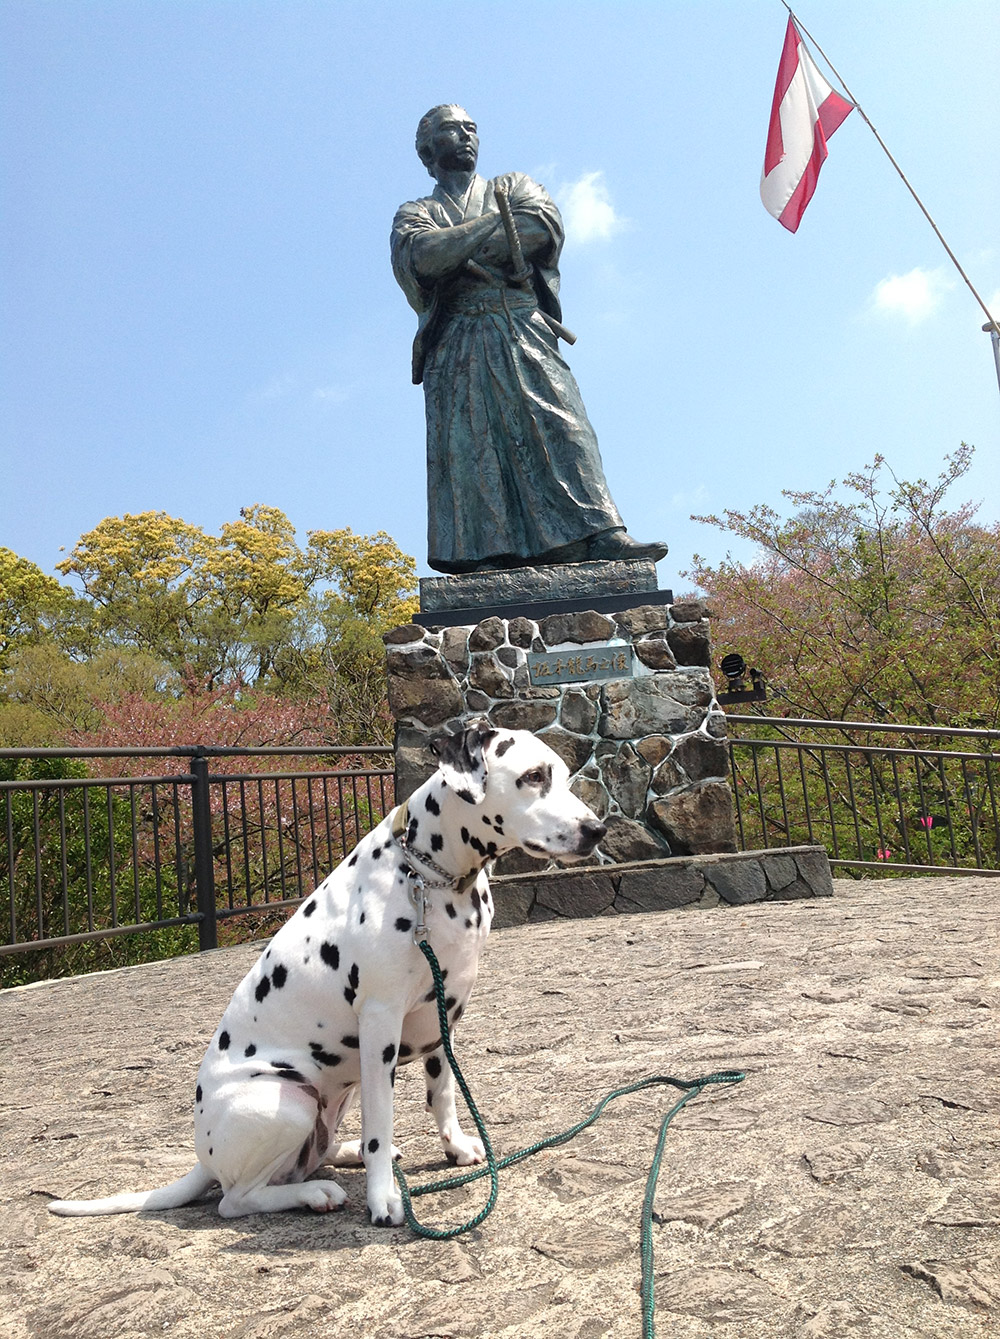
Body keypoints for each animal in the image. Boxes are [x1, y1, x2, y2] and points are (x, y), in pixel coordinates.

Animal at [48, 728, 602, 1226]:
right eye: (533, 777)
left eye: (564, 775)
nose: (595, 829)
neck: (432, 877)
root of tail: (203, 1161)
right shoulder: (381, 1025)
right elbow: (383, 1119)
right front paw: (383, 1200)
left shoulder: (443, 1016)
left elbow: (442, 1094)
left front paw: (457, 1147)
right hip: (287, 1102)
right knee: (237, 1200)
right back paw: (317, 1192)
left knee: (315, 1153)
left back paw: (347, 1154)